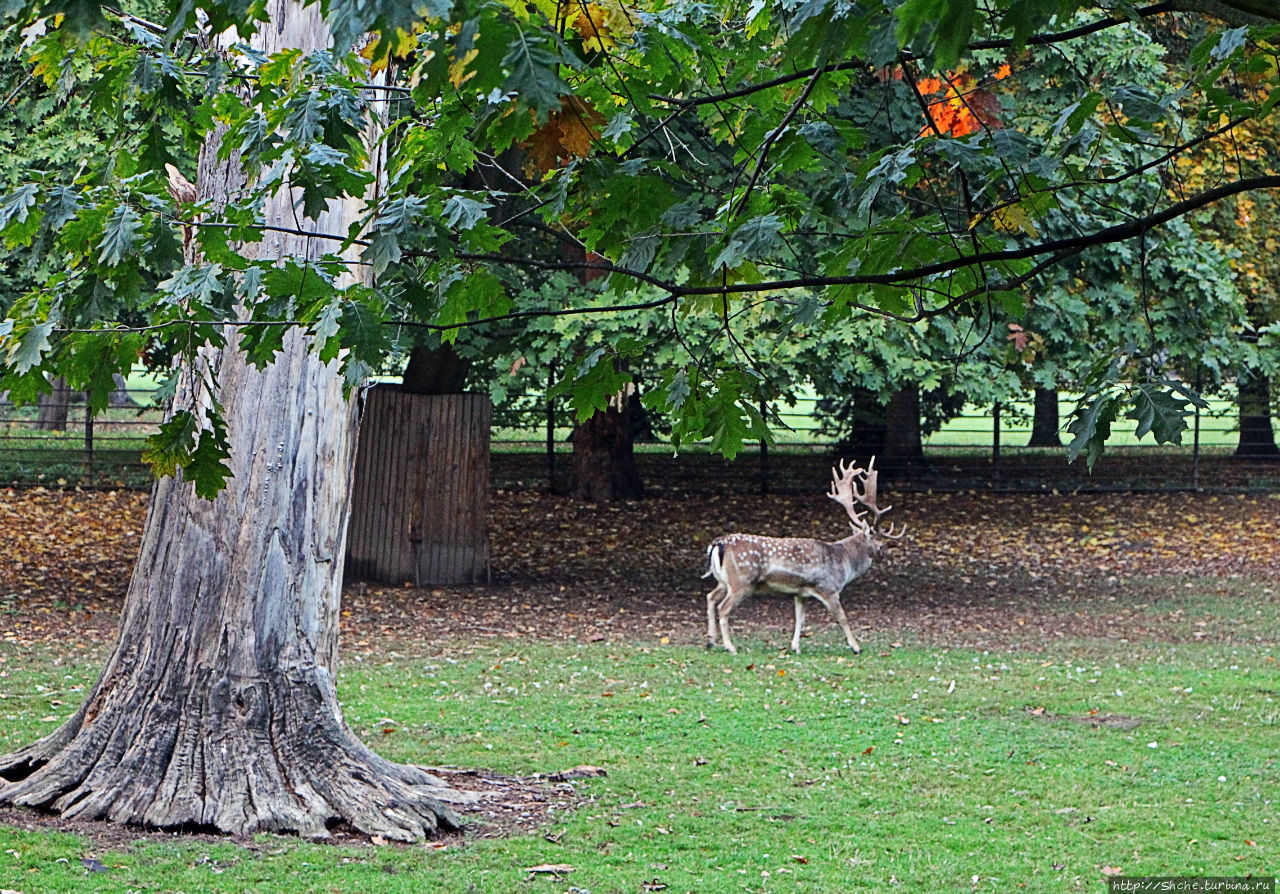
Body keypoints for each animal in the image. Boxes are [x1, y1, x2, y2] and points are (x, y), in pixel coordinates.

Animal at [706, 455, 906, 650]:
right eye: (880, 543)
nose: (884, 553)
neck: (844, 562)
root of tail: (718, 544)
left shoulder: (801, 593)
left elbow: (800, 619)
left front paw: (795, 647)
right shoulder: (828, 588)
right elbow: (842, 617)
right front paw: (856, 646)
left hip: (723, 580)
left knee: (710, 597)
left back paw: (710, 641)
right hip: (741, 580)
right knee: (723, 607)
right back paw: (729, 647)